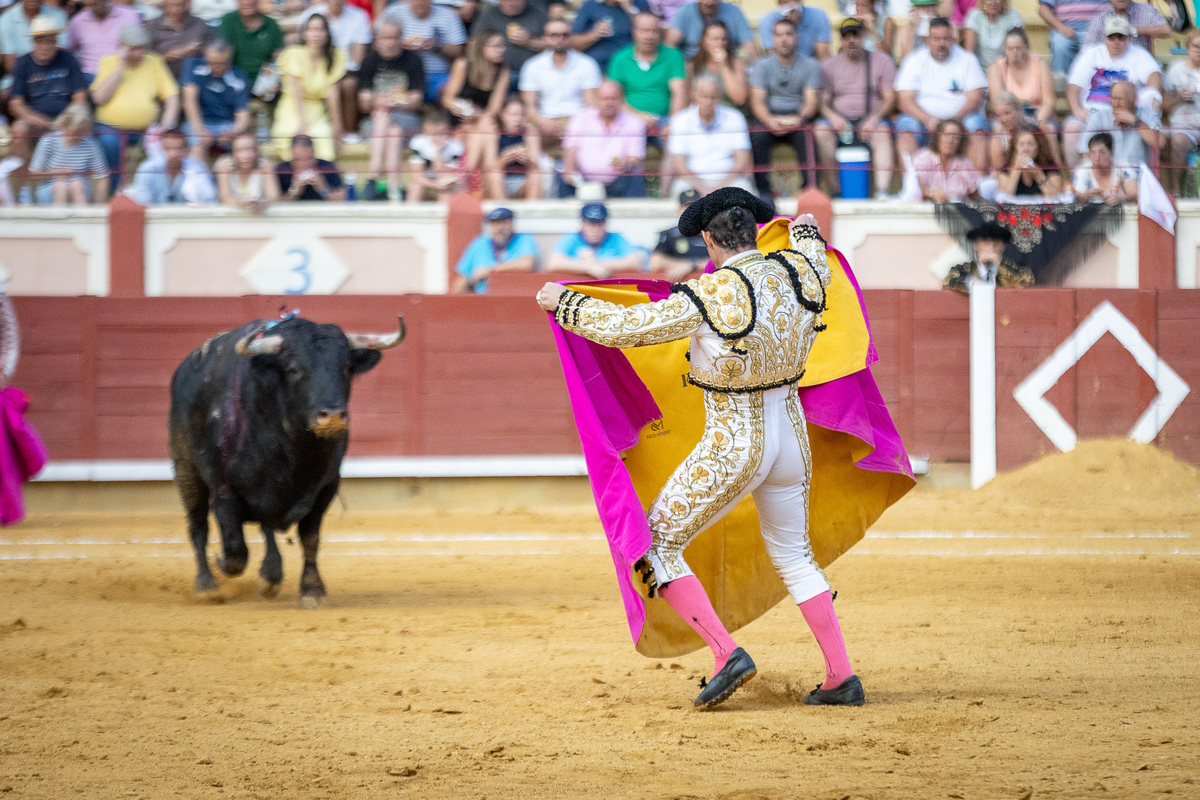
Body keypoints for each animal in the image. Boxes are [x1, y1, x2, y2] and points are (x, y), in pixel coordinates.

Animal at [166, 316, 405, 604]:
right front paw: (222, 564)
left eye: (347, 368)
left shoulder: (325, 488)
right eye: (293, 369)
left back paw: (270, 574)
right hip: (186, 470)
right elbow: (235, 550)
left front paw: (312, 590)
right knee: (198, 525)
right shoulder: (224, 489)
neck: (295, 449)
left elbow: (309, 537)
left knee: (265, 526)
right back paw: (206, 585)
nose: (332, 416)